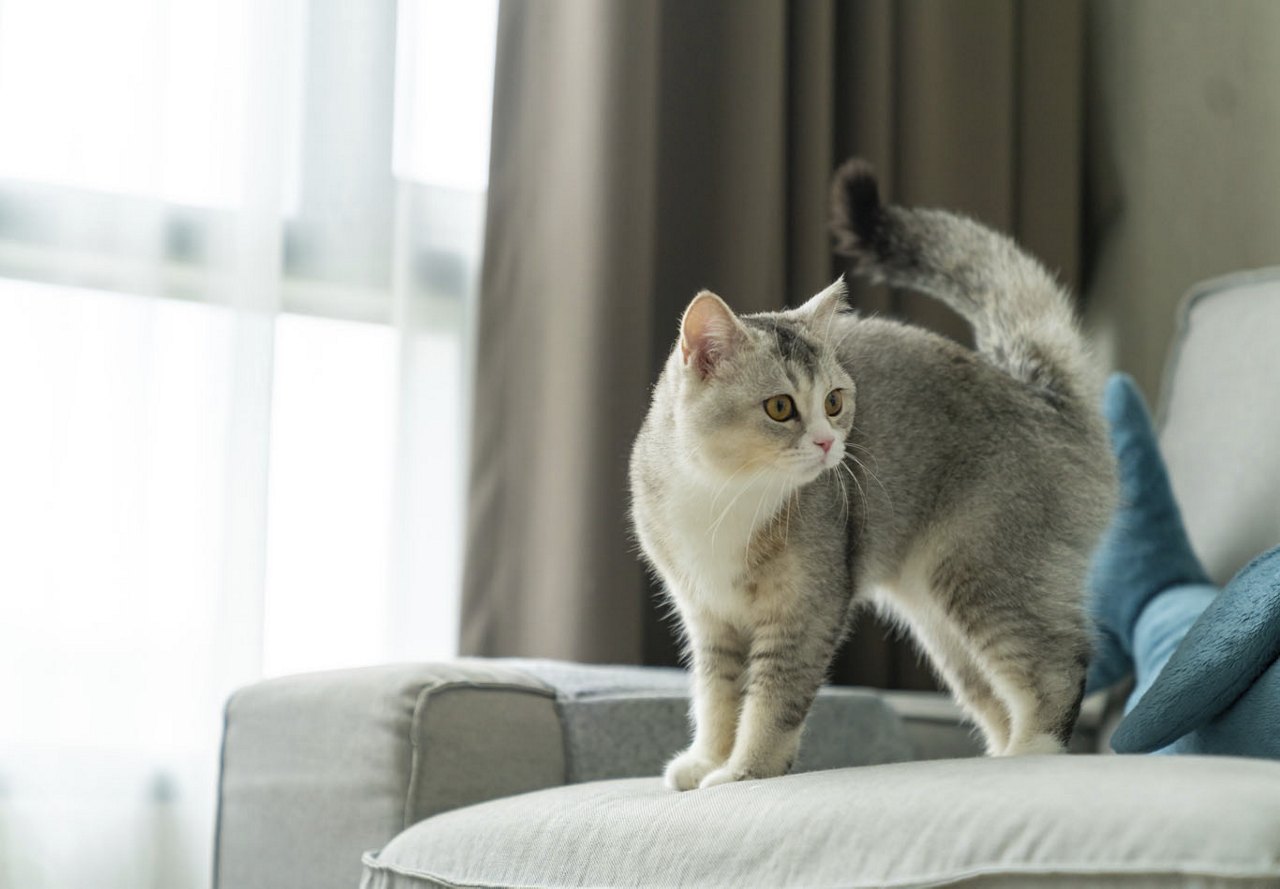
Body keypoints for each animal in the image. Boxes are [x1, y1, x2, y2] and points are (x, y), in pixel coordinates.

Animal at [632, 161, 1121, 793]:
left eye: (835, 402)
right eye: (780, 408)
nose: (828, 442)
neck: (724, 494)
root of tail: (1043, 395)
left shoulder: (806, 609)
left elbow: (771, 701)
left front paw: (744, 772)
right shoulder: (709, 616)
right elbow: (717, 697)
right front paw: (706, 761)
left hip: (987, 572)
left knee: (1059, 663)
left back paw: (1032, 752)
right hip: (942, 626)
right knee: (995, 694)